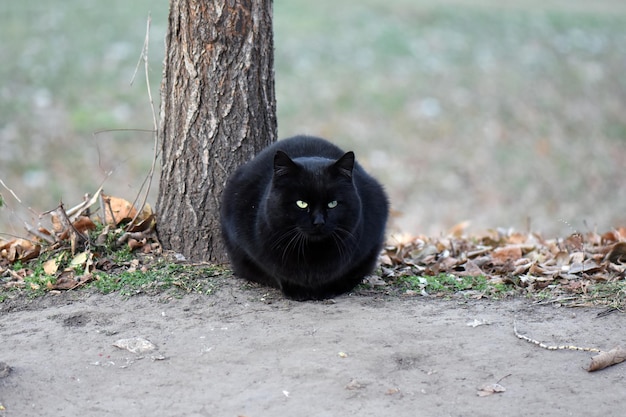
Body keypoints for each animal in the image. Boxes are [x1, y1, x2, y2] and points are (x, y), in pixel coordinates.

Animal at [218, 135, 386, 300]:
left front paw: (328, 290)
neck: (312, 254)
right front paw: (297, 291)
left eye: (332, 203)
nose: (319, 222)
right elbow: (276, 272)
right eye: (301, 203)